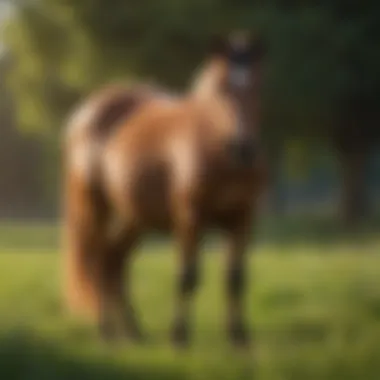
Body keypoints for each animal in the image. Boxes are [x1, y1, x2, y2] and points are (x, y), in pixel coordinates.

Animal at [63, 31, 268, 348]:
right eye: (221, 87)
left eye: (257, 84)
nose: (243, 147)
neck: (216, 152)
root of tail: (88, 112)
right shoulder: (189, 217)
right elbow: (187, 276)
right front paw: (179, 336)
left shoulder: (242, 218)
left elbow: (235, 278)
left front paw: (239, 338)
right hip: (97, 206)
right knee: (98, 258)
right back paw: (107, 332)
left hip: (134, 217)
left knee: (114, 260)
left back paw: (133, 332)